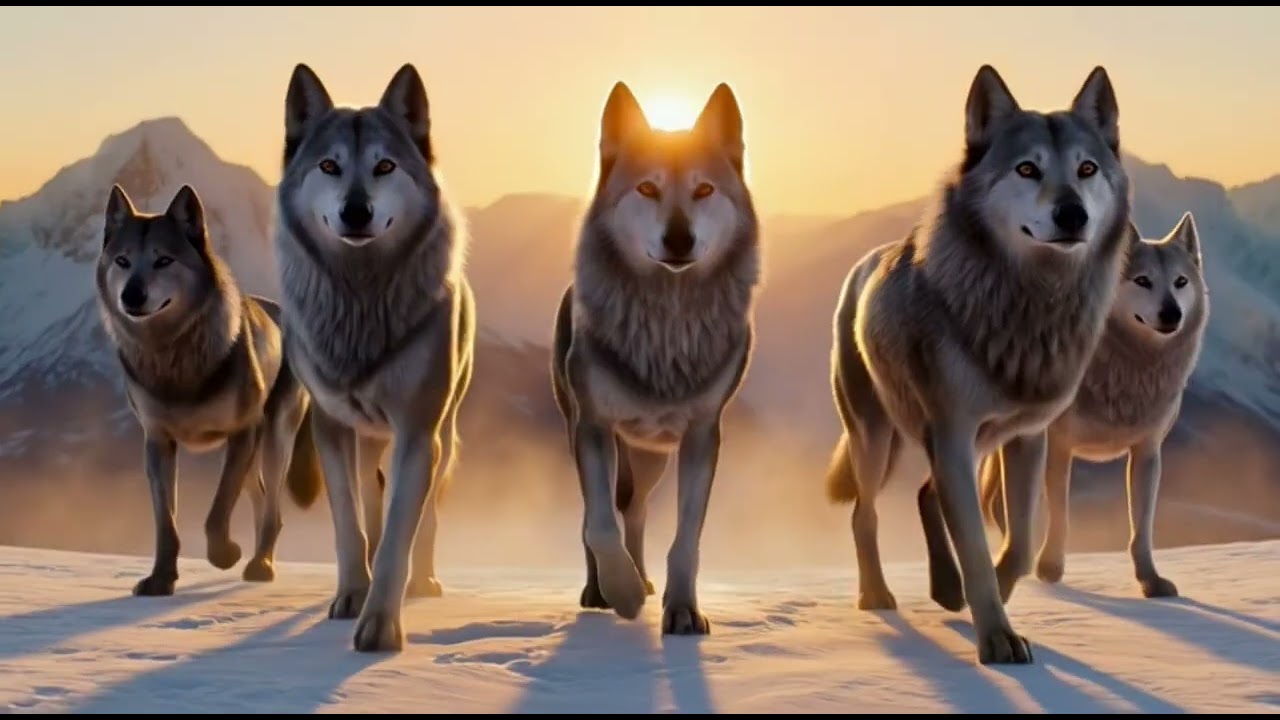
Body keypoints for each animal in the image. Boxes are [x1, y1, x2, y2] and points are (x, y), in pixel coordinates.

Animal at [95, 184, 321, 597]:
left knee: (272, 509)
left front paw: (225, 554)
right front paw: (160, 579)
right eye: (122, 261)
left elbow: (215, 515)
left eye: (164, 260)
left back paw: (261, 565)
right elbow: (166, 525)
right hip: (247, 455)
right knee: (259, 496)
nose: (131, 296)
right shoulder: (158, 442)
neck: (173, 360)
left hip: (271, 442)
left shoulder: (242, 433)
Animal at [274, 62, 475, 653]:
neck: (361, 301)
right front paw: (349, 597)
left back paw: (424, 580)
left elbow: (397, 539)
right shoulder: (330, 425)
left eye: (385, 166)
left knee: (423, 517)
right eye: (330, 166)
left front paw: (381, 627)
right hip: (367, 439)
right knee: (369, 495)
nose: (356, 211)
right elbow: (349, 523)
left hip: (444, 434)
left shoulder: (417, 432)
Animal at [550, 80, 760, 635]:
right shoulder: (593, 425)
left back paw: (643, 579)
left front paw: (682, 609)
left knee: (637, 510)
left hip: (653, 459)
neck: (665, 327)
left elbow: (685, 539)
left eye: (704, 190)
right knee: (600, 514)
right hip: (585, 432)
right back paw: (600, 590)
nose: (680, 239)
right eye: (646, 189)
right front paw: (621, 594)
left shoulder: (703, 434)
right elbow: (599, 525)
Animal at [822, 65, 1132, 664]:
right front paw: (997, 638)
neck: (1030, 307)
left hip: (971, 443)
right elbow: (976, 544)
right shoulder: (954, 433)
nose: (1072, 214)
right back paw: (877, 595)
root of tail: (862, 266)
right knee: (863, 513)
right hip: (876, 440)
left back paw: (945, 588)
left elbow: (1020, 541)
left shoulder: (1028, 437)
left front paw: (988, 595)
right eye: (1027, 168)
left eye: (1086, 169)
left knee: (925, 493)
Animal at [981, 212, 1209, 599]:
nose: (1171, 314)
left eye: (1180, 282)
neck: (1128, 365)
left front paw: (1151, 581)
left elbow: (1141, 531)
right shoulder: (1059, 446)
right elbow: (1060, 515)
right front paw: (1050, 567)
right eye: (1142, 281)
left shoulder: (1147, 453)